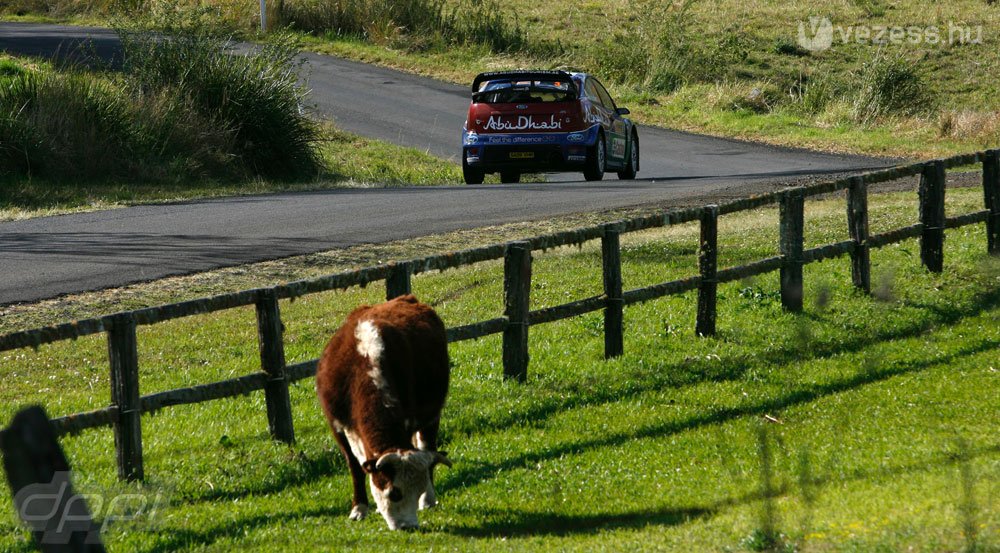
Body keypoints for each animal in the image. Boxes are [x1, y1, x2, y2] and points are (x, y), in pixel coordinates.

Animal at [316, 294, 454, 532]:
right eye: (394, 493)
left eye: (416, 490)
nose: (409, 526)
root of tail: (406, 298)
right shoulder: (337, 425)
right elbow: (354, 467)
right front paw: (359, 508)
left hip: (432, 415)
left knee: (427, 445)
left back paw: (429, 499)